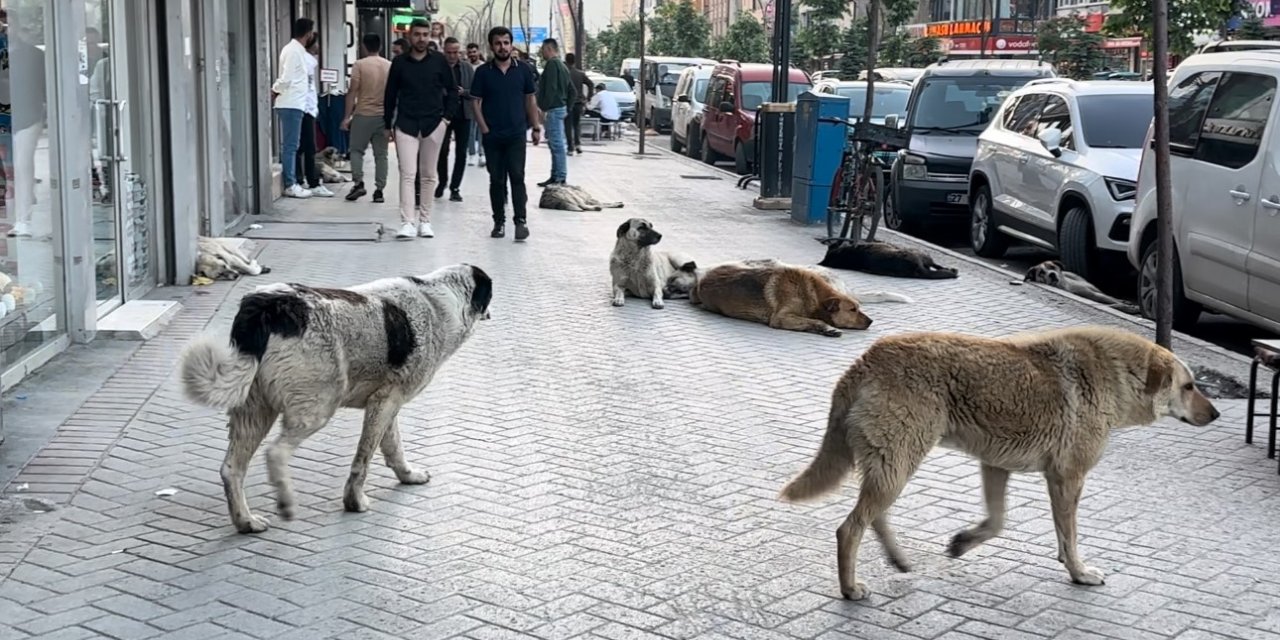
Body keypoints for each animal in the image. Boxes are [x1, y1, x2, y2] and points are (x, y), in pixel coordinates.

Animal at [180, 264, 494, 535]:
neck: (438, 299)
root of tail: (267, 306)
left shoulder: (386, 401)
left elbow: (393, 447)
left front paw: (407, 475)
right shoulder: (385, 402)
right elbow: (363, 458)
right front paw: (354, 502)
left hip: (255, 409)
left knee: (231, 469)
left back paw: (246, 521)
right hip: (317, 406)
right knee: (276, 453)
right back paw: (285, 502)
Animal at [691, 258, 880, 335]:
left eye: (858, 308)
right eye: (852, 309)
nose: (871, 321)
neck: (811, 293)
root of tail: (702, 278)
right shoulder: (781, 318)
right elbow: (815, 321)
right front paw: (827, 328)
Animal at [778, 325, 1218, 599]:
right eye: (1189, 386)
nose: (1215, 415)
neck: (1118, 373)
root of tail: (866, 359)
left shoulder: (997, 466)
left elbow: (998, 522)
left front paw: (964, 542)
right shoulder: (1067, 477)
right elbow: (1069, 536)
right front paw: (1078, 572)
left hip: (894, 465)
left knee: (874, 517)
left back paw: (897, 559)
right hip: (899, 463)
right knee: (850, 528)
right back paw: (850, 588)